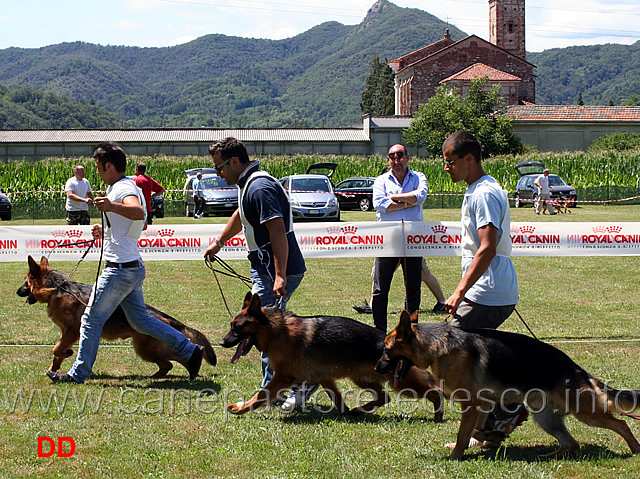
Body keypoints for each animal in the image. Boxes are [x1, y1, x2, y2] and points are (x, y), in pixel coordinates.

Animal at [16, 255, 218, 378]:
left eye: (25, 282)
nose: (17, 292)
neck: (58, 289)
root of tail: (167, 319)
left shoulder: (72, 331)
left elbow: (56, 349)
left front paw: (67, 354)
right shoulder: (66, 332)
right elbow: (56, 354)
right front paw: (53, 370)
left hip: (146, 349)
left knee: (173, 359)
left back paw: (192, 365)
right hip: (148, 349)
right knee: (167, 364)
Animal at [218, 290, 442, 418]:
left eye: (237, 328)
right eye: (231, 325)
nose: (221, 343)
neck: (275, 330)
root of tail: (390, 343)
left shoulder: (282, 377)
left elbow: (260, 395)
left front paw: (240, 408)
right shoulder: (325, 378)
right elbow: (337, 397)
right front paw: (345, 412)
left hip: (401, 382)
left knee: (435, 390)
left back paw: (439, 415)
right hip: (362, 378)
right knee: (383, 397)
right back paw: (360, 410)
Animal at [378, 312, 640, 462]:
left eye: (386, 349)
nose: (378, 368)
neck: (438, 347)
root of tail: (578, 370)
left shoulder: (472, 404)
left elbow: (463, 434)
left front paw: (454, 456)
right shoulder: (482, 405)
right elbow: (476, 431)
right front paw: (491, 436)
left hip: (585, 412)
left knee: (622, 424)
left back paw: (635, 450)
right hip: (545, 417)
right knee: (571, 443)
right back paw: (548, 456)